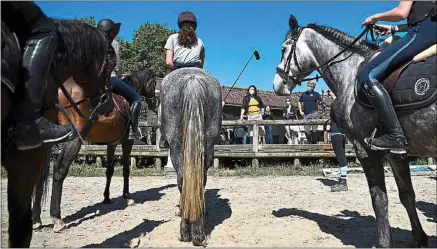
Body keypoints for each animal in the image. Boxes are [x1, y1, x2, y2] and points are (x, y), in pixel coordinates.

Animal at [31, 68, 159, 231]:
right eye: (153, 82)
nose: (155, 101)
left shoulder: (112, 144)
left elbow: (109, 171)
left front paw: (106, 197)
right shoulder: (127, 142)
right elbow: (126, 169)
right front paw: (127, 196)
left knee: (39, 174)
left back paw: (36, 219)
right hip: (74, 140)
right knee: (60, 169)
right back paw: (57, 219)